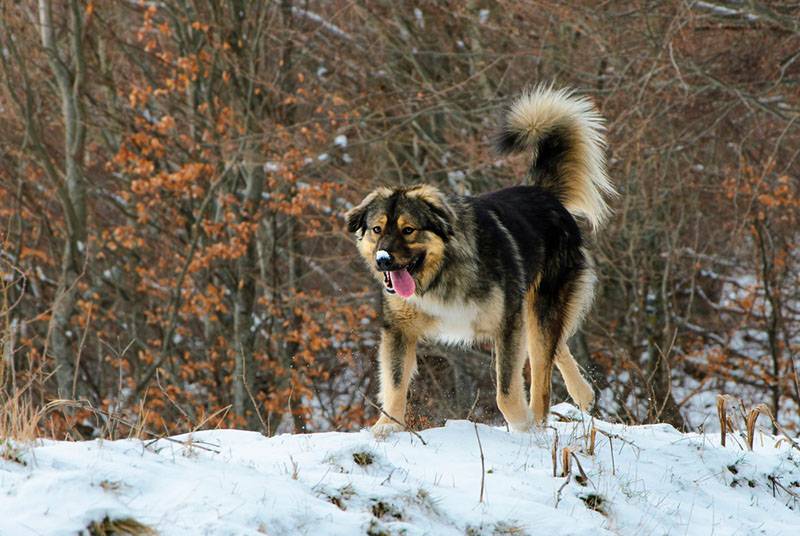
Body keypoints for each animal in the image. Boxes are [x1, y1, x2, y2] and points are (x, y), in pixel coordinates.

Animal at [346, 86, 616, 438]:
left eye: (408, 229)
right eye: (377, 229)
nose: (383, 260)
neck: (442, 272)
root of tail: (542, 194)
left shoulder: (506, 325)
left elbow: (506, 391)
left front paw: (522, 427)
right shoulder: (399, 330)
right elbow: (394, 385)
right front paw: (385, 428)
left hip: (540, 309)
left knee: (542, 371)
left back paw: (541, 420)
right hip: (531, 314)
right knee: (557, 348)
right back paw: (583, 392)